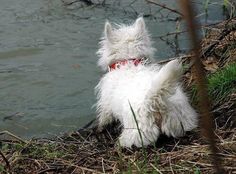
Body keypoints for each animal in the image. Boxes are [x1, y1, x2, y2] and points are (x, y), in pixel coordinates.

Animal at [94, 17, 197, 147]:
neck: (129, 62)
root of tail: (155, 101)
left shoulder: (105, 103)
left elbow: (104, 117)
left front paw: (100, 127)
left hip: (136, 132)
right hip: (181, 121)